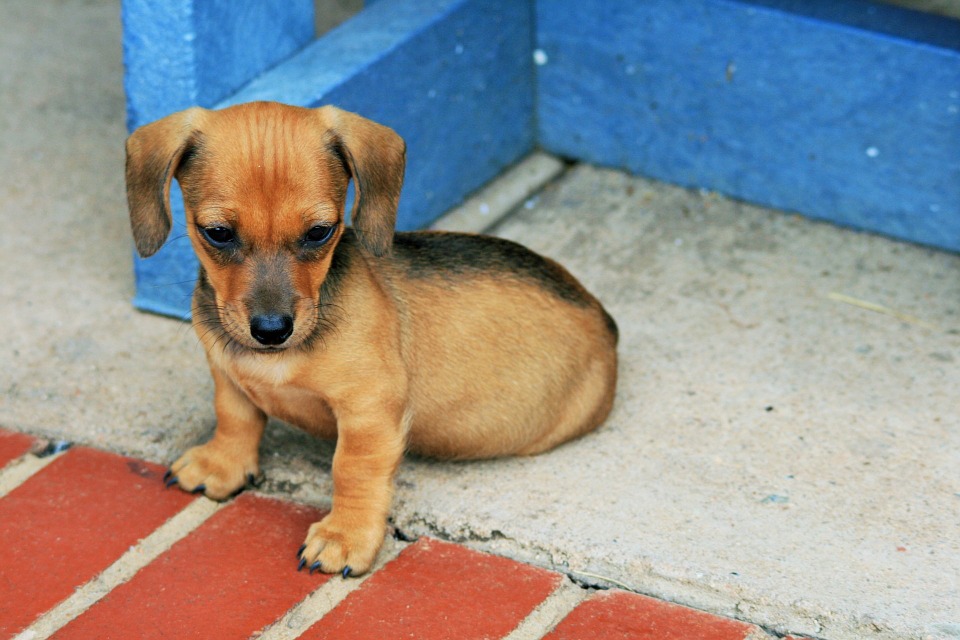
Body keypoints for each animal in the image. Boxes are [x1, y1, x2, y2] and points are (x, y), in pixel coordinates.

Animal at [124, 102, 620, 576]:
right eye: (217, 234)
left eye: (319, 232)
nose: (271, 330)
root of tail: (605, 318)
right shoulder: (228, 376)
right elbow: (235, 418)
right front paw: (221, 464)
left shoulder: (368, 409)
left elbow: (352, 470)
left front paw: (345, 536)